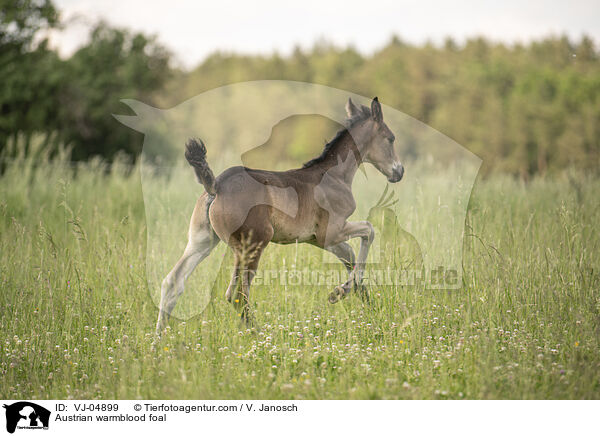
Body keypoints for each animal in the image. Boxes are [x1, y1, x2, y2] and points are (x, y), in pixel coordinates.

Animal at [157, 97, 406, 332]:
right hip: (252, 245)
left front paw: (351, 295)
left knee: (172, 283)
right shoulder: (332, 232)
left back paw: (158, 340)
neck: (333, 176)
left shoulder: (320, 240)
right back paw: (258, 333)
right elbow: (369, 232)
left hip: (202, 241)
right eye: (391, 138)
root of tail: (215, 186)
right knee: (236, 293)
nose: (399, 171)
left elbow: (351, 258)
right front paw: (341, 292)